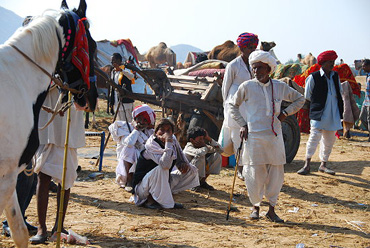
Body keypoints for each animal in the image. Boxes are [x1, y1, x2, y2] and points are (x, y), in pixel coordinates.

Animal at [0, 0, 97, 246]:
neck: (18, 80)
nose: (91, 98)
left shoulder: (10, 175)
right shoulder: (6, 175)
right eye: (92, 45)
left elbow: (20, 232)